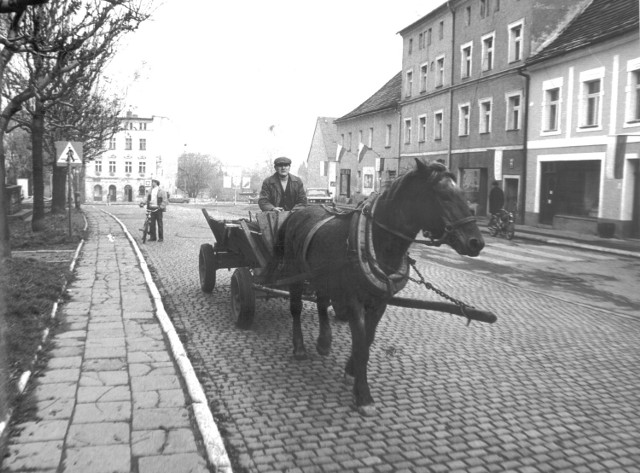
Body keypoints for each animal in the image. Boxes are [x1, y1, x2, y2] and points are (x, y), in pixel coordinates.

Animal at [278, 160, 482, 414]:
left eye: (463, 193)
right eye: (443, 195)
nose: (477, 242)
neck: (376, 239)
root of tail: (297, 212)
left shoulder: (380, 301)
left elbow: (367, 340)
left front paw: (351, 371)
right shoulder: (354, 301)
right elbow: (361, 345)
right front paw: (363, 395)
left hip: (322, 276)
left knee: (322, 303)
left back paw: (324, 342)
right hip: (295, 273)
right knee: (296, 309)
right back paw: (299, 348)